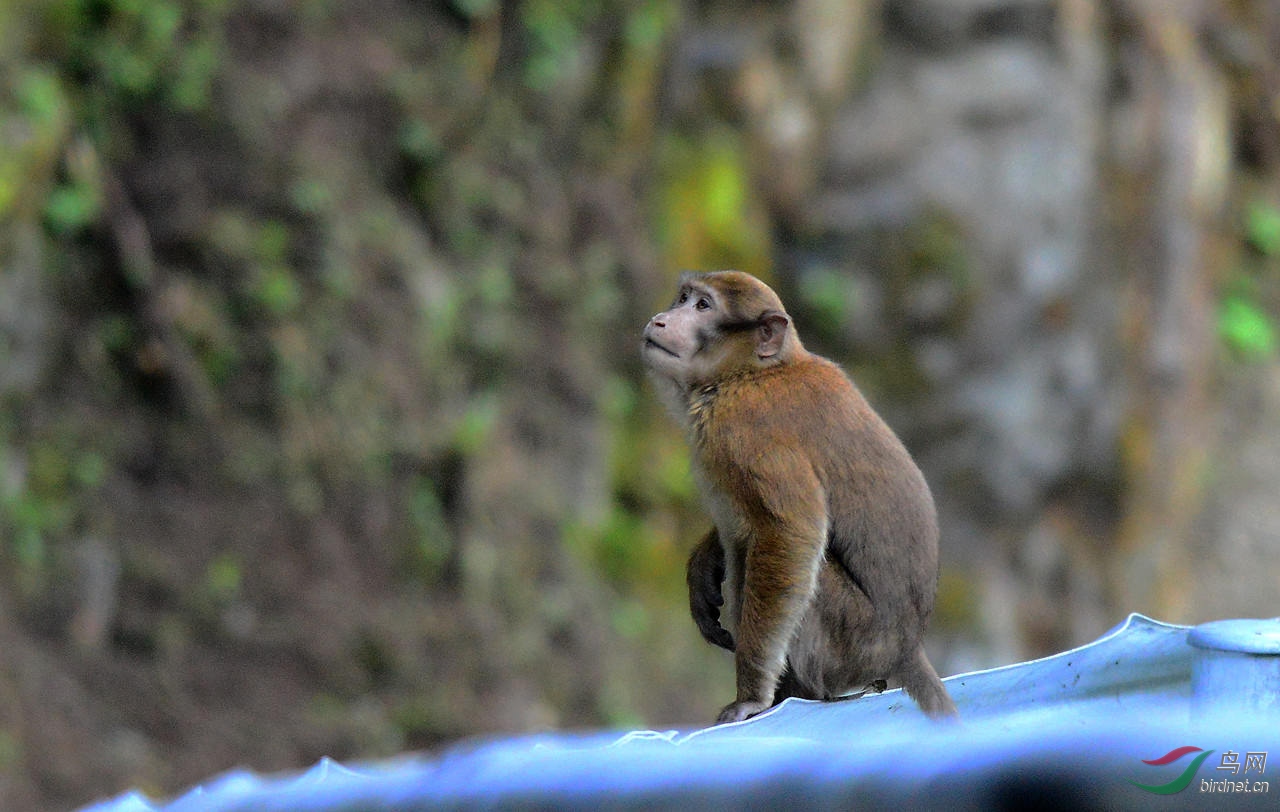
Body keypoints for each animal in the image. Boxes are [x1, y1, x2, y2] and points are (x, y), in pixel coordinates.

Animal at [645, 270, 957, 722]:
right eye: (684, 297)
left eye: (703, 306)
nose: (661, 319)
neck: (751, 373)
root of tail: (906, 649)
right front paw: (704, 563)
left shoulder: (746, 434)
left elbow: (790, 533)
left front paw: (751, 697)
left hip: (851, 644)